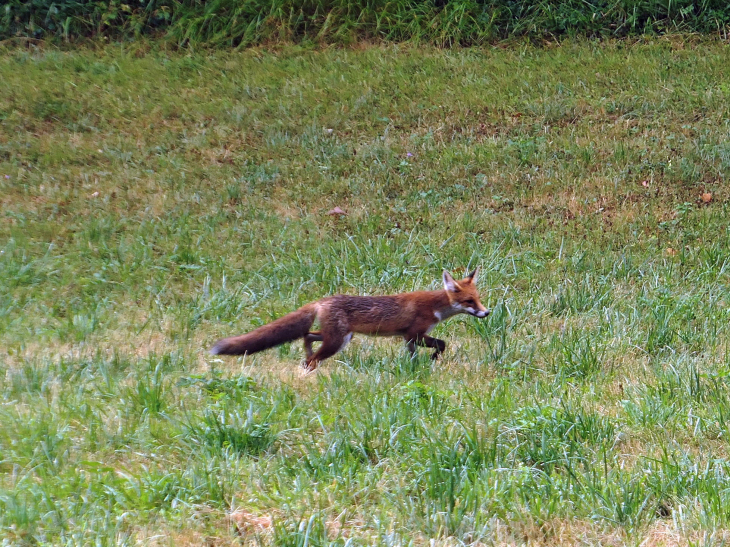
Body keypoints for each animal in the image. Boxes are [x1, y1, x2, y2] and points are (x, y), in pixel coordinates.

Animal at [208, 268, 486, 370]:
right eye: (469, 302)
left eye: (478, 298)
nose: (487, 312)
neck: (435, 306)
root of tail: (322, 300)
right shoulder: (414, 333)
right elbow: (441, 344)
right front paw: (431, 359)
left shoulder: (409, 338)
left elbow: (421, 353)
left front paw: (421, 364)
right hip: (336, 341)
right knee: (313, 352)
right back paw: (310, 371)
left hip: (339, 337)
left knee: (307, 336)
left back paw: (306, 359)